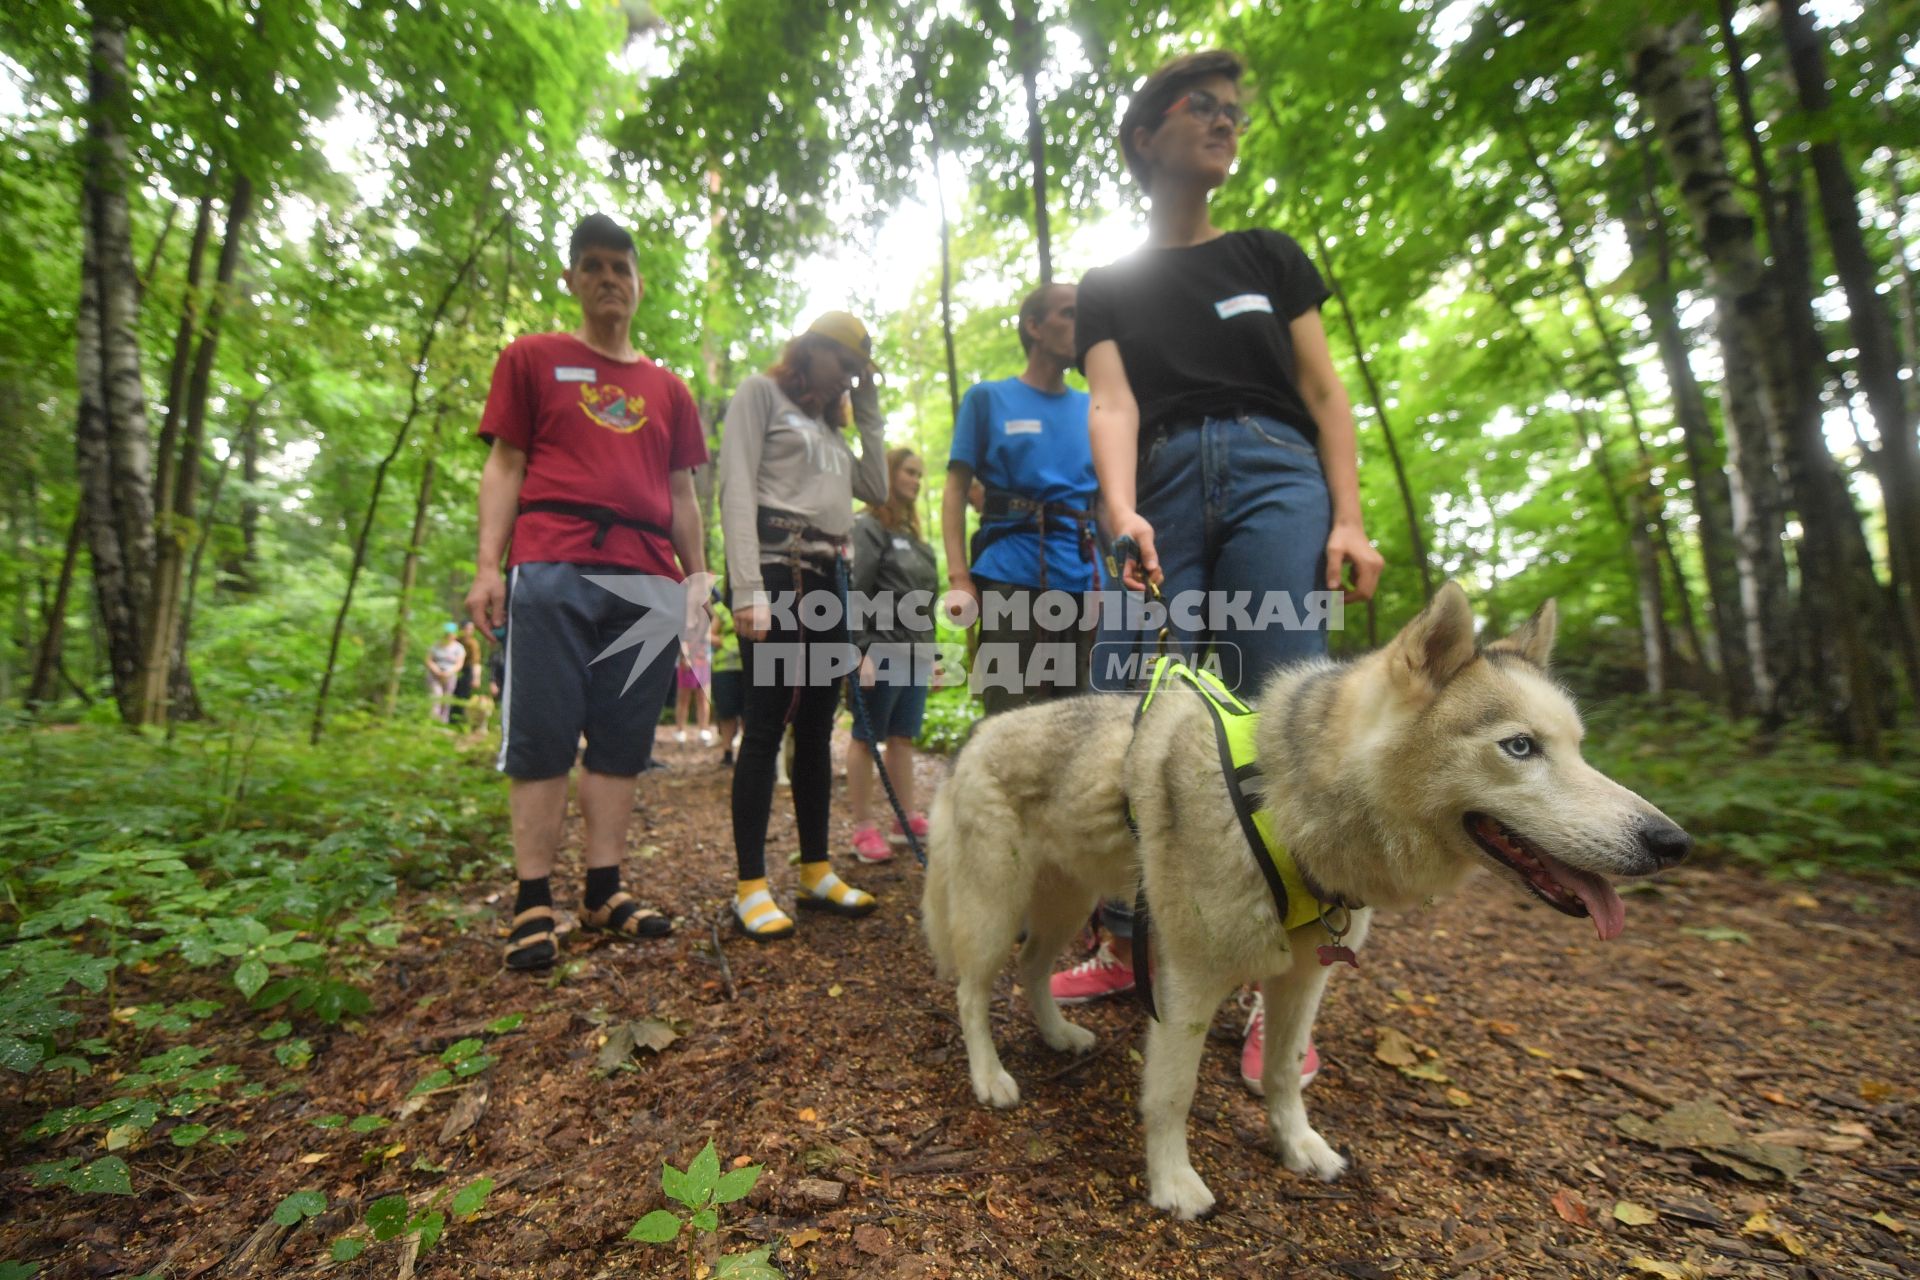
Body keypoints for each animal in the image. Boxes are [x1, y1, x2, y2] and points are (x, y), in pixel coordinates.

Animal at [921, 583, 1689, 1220]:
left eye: (1580, 749)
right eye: (1521, 747)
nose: (1671, 841)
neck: (1285, 810)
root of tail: (975, 734)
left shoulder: (1301, 980)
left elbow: (1285, 1073)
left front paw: (1299, 1147)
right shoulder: (1188, 984)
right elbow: (1172, 1093)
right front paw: (1173, 1184)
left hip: (1065, 903)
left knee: (1031, 971)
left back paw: (1057, 1034)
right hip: (996, 911)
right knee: (971, 992)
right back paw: (990, 1076)